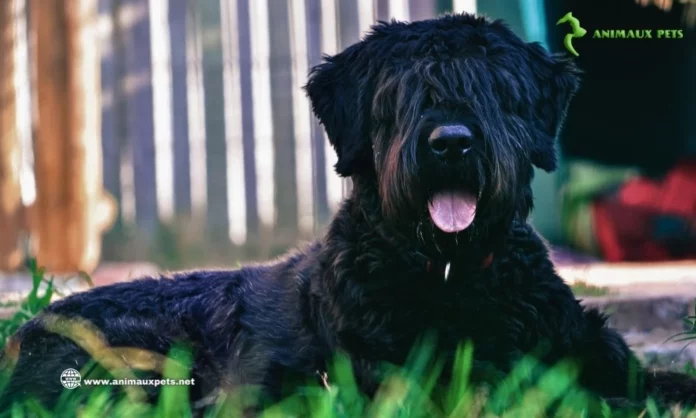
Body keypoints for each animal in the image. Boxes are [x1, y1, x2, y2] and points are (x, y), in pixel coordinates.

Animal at [1, 12, 696, 412]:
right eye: (404, 91)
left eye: (493, 88)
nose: (450, 142)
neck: (456, 273)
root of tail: (23, 335)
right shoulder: (425, 379)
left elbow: (643, 382)